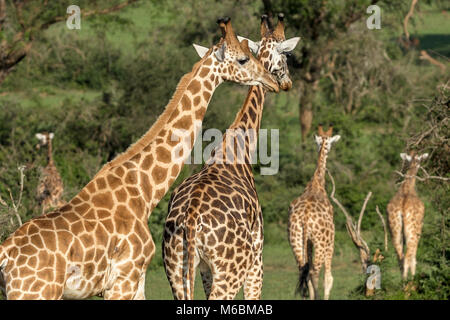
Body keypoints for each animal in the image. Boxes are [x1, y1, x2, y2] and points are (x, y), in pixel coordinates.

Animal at [0, 18, 280, 300]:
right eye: (243, 59)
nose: (272, 81)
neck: (144, 192)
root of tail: (5, 256)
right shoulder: (124, 277)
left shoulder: (137, 279)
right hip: (37, 293)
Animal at [162, 13, 298, 302]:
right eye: (286, 57)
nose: (284, 83)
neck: (239, 147)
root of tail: (191, 222)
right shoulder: (258, 256)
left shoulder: (204, 271)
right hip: (232, 269)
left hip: (177, 269)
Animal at [288, 124, 342, 298]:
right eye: (331, 143)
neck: (317, 182)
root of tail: (305, 217)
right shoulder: (331, 241)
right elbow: (329, 278)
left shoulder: (309, 243)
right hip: (320, 243)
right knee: (314, 272)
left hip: (296, 240)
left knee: (303, 270)